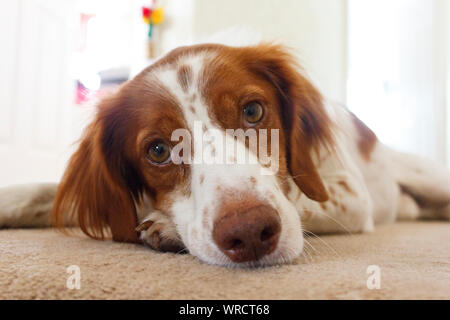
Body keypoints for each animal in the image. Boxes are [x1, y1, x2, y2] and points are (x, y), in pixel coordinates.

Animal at [0, 42, 450, 268]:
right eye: (158, 150)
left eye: (252, 112)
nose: (249, 234)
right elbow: (43, 193)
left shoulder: (352, 196)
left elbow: (300, 197)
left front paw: (165, 226)